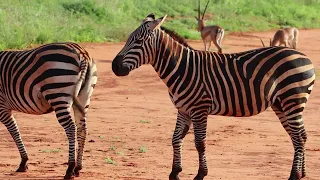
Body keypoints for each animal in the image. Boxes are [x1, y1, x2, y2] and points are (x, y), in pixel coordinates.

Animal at [0, 41, 97, 179]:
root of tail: (81, 52)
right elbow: (15, 130)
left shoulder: (2, 107)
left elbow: (14, 131)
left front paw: (23, 162)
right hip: (84, 97)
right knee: (82, 129)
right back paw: (78, 168)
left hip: (58, 94)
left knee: (71, 128)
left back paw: (70, 169)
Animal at [112, 13, 316, 180]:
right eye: (128, 39)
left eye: (137, 41)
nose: (115, 67)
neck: (182, 68)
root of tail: (305, 57)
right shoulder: (183, 109)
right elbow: (176, 138)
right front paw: (175, 172)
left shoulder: (199, 109)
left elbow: (199, 143)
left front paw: (200, 174)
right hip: (281, 104)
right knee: (300, 135)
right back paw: (303, 172)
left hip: (292, 99)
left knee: (299, 137)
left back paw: (294, 175)